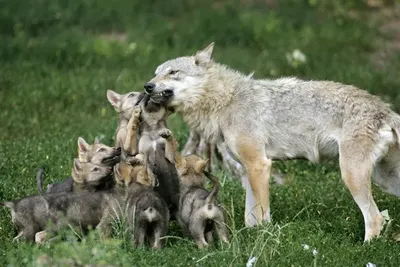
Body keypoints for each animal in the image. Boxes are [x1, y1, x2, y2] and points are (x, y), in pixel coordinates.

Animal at [144, 42, 400, 243]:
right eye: (156, 73)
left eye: (173, 72)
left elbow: (262, 215)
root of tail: (386, 111)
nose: (147, 86)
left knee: (375, 218)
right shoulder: (247, 171)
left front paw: (262, 237)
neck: (226, 101)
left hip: (352, 176)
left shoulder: (260, 165)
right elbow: (250, 217)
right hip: (384, 180)